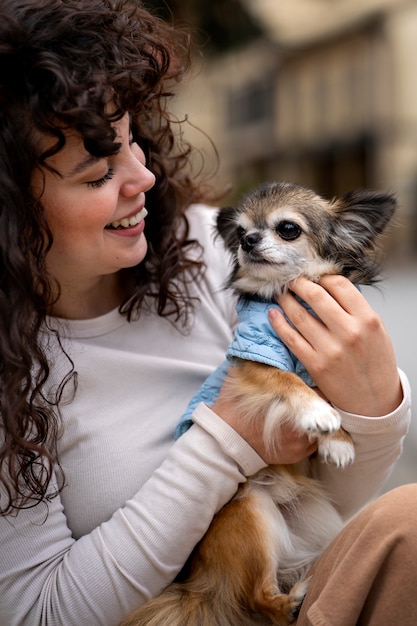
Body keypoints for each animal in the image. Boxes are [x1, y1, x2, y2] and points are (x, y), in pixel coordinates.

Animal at [122, 182, 394, 624]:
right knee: (258, 598)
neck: (285, 293)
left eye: (288, 229)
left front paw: (338, 442)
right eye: (240, 232)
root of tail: (202, 581)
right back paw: (294, 600)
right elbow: (288, 380)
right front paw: (318, 414)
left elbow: (332, 396)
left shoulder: (332, 365)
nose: (249, 240)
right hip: (249, 514)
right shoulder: (252, 360)